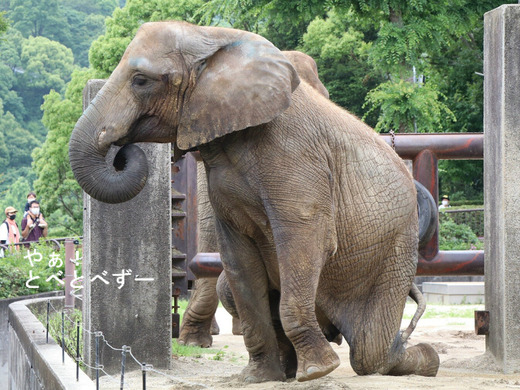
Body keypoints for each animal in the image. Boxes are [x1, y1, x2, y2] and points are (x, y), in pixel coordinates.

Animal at [69, 20, 438, 380]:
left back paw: (423, 359)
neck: (211, 36)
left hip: (396, 246)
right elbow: (239, 260)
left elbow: (304, 240)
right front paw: (258, 377)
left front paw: (318, 371)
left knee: (370, 351)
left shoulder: (297, 157)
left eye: (141, 80)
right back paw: (290, 369)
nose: (121, 150)